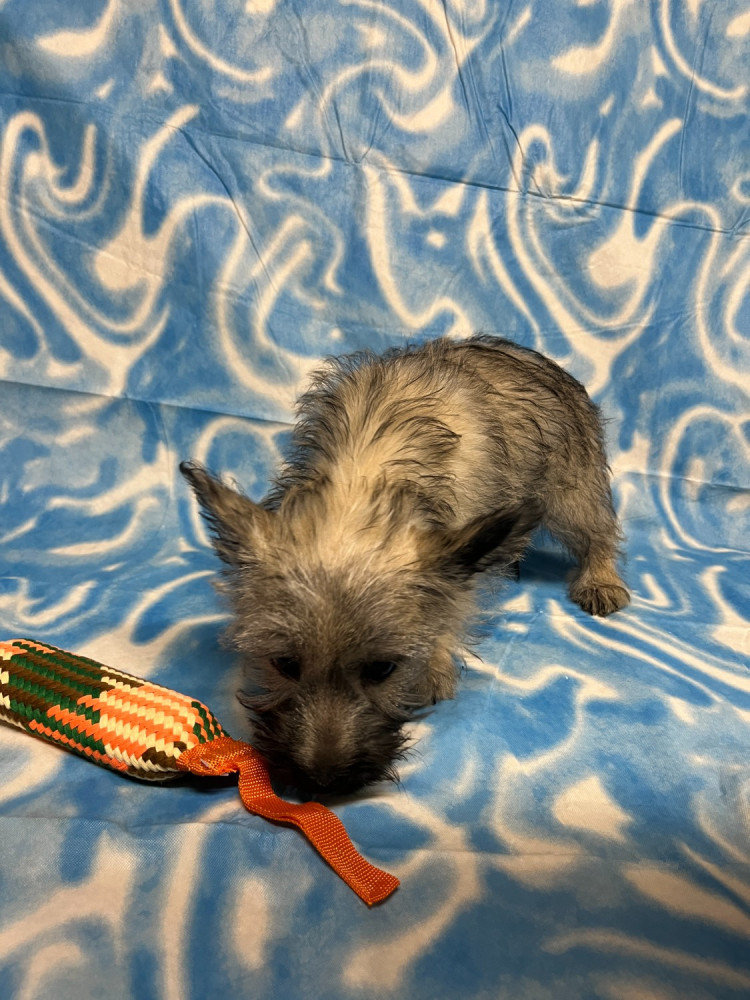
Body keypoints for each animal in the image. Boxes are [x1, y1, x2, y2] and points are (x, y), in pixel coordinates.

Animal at [181, 335, 629, 796]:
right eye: (285, 664)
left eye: (383, 669)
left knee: (598, 532)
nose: (324, 783)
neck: (362, 481)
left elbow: (455, 606)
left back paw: (600, 580)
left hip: (571, 489)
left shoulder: (456, 553)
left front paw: (435, 663)